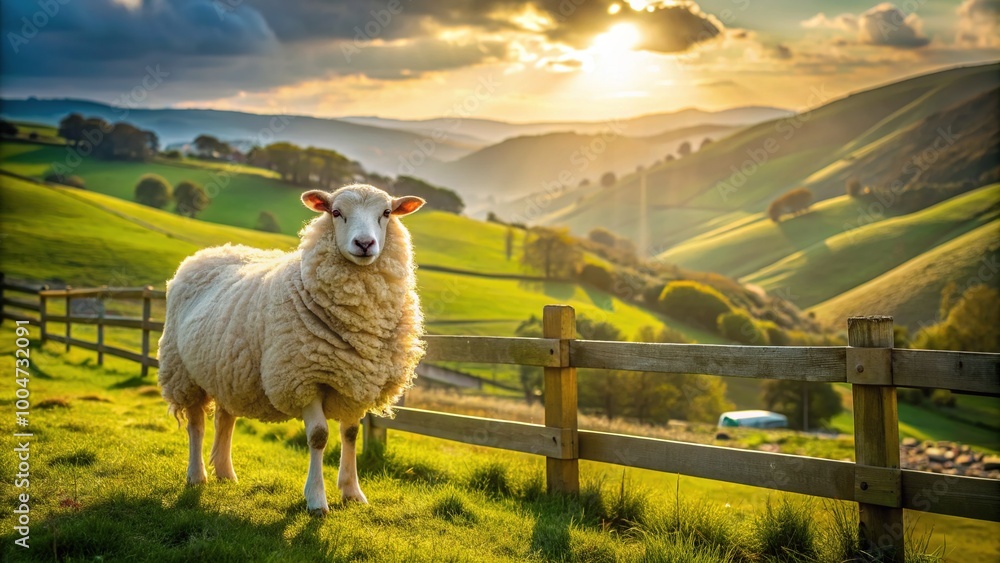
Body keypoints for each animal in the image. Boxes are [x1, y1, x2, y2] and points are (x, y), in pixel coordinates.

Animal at [157, 184, 426, 514]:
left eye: (387, 213)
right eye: (336, 212)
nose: (365, 244)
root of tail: (209, 252)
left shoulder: (355, 381)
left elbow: (350, 434)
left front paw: (353, 492)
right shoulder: (303, 378)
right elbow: (319, 436)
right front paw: (316, 500)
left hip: (227, 371)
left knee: (225, 419)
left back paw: (225, 472)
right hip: (183, 372)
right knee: (196, 425)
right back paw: (197, 476)